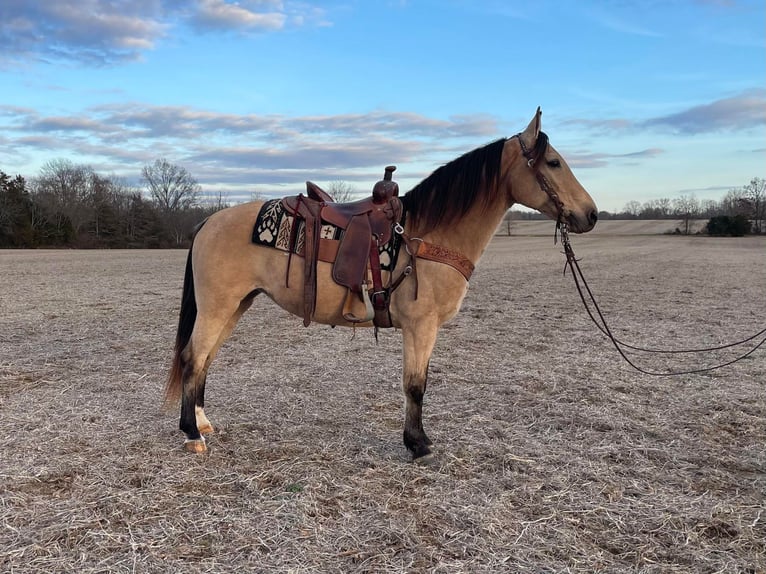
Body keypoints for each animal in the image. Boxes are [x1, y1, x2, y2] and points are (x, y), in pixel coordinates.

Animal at [165, 108, 604, 464]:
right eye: (553, 162)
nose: (592, 215)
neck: (428, 235)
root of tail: (208, 222)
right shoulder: (420, 326)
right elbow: (415, 385)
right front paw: (418, 444)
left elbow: (417, 383)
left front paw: (417, 441)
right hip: (218, 306)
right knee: (192, 357)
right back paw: (191, 434)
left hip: (235, 305)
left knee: (204, 360)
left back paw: (202, 422)